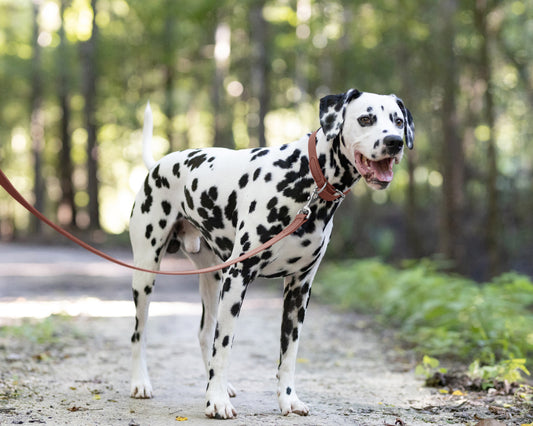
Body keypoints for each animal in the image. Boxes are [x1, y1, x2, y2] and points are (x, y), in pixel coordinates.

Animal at [128, 88, 412, 418]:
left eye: (398, 120)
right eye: (366, 118)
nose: (394, 141)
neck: (307, 179)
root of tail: (159, 164)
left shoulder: (298, 290)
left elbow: (288, 354)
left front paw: (288, 400)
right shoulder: (238, 278)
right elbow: (225, 345)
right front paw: (216, 402)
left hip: (212, 279)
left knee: (204, 333)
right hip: (146, 274)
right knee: (140, 333)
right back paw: (141, 383)